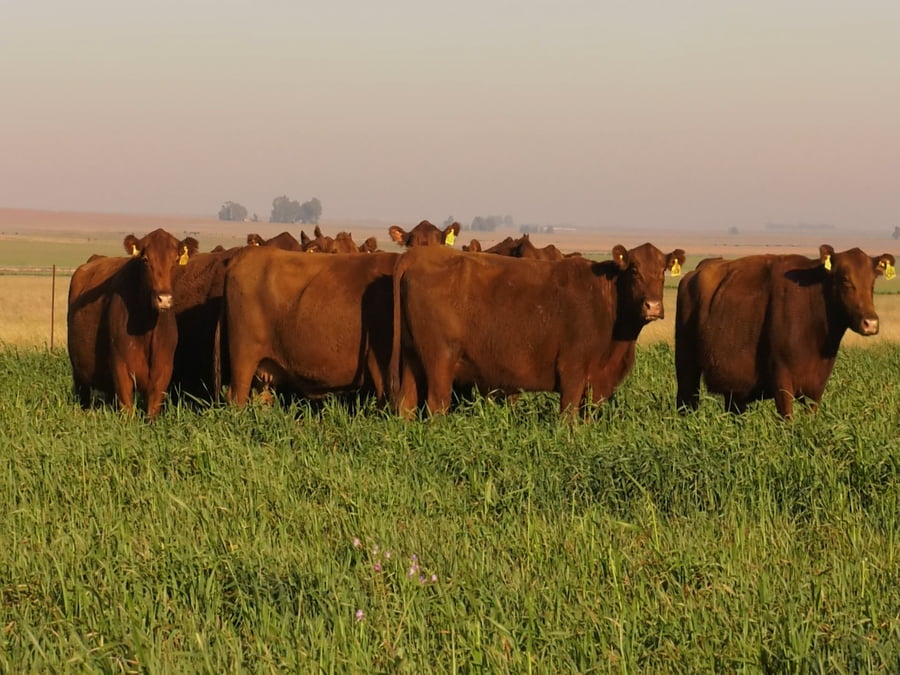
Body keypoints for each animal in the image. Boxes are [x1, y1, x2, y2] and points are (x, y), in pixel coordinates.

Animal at [67, 229, 199, 418]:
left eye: (175, 260)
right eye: (145, 260)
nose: (164, 299)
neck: (147, 329)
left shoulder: (163, 372)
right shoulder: (121, 368)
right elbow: (127, 411)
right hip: (79, 373)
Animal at [390, 242, 685, 417]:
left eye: (662, 270)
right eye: (634, 270)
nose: (653, 306)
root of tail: (419, 256)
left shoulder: (596, 384)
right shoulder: (572, 369)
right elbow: (568, 416)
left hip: (413, 359)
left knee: (406, 404)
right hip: (440, 359)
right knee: (436, 405)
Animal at [675, 245, 895, 418]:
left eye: (872, 282)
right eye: (845, 280)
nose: (870, 323)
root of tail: (695, 272)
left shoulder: (816, 387)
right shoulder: (782, 380)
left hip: (734, 383)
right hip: (686, 367)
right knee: (686, 404)